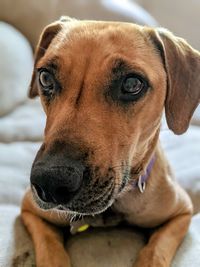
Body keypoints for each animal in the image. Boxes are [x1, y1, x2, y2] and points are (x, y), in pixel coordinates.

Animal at [20, 17, 200, 267]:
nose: (50, 183)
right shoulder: (30, 210)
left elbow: (155, 250)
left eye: (132, 84)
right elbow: (50, 249)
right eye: (45, 77)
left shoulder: (181, 213)